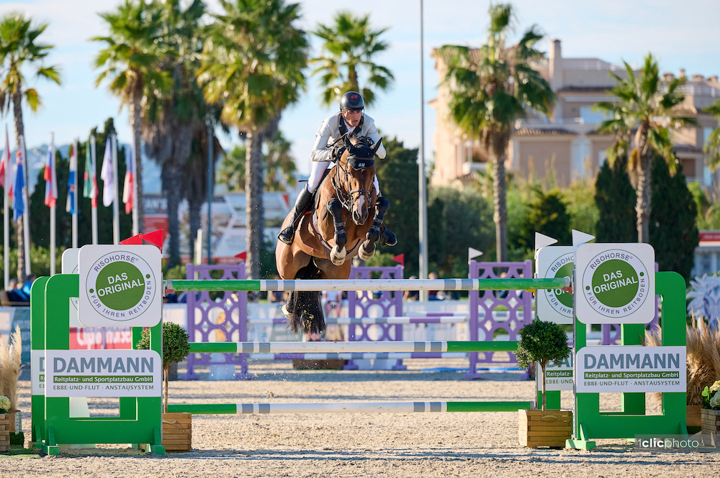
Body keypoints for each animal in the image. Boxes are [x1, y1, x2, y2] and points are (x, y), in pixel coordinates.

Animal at [276, 134, 390, 334]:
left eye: (372, 172)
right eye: (349, 172)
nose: (360, 213)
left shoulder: (363, 223)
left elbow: (381, 206)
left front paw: (367, 249)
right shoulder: (324, 226)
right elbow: (333, 206)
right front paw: (338, 250)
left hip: (335, 275)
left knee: (308, 283)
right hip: (286, 264)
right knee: (291, 280)